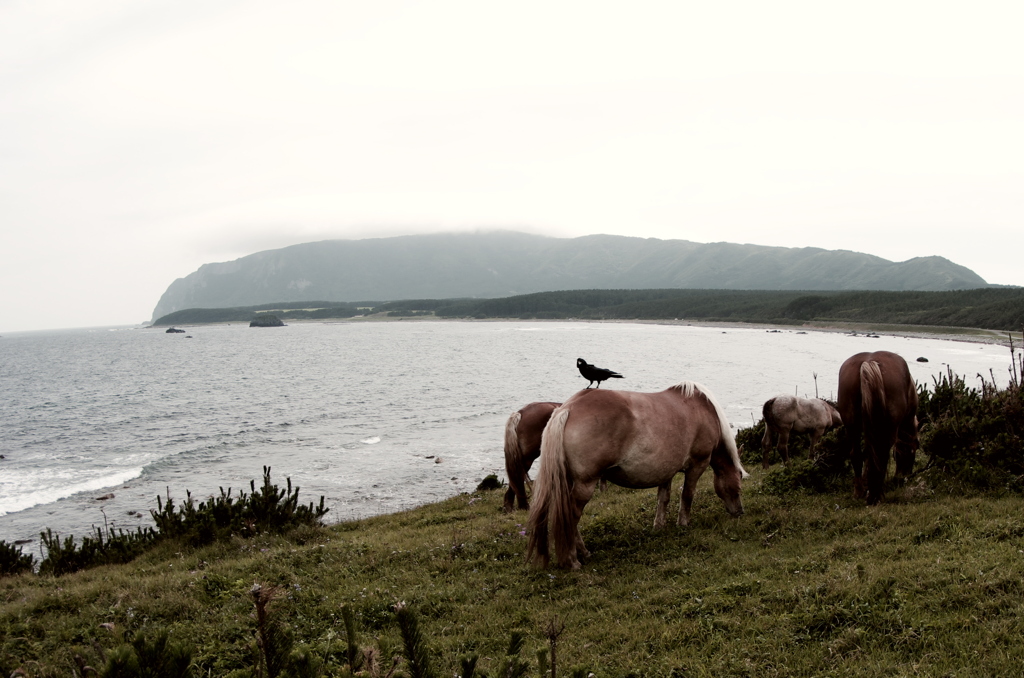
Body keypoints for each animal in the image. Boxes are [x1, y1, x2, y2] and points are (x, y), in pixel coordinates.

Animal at [524, 385, 749, 569]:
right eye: (738, 486)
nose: (739, 512)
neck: (702, 408)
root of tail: (567, 408)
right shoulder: (697, 465)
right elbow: (687, 495)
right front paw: (683, 523)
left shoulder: (666, 470)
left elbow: (663, 498)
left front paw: (659, 526)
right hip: (585, 484)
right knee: (571, 517)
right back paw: (573, 560)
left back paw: (583, 553)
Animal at [835, 350, 917, 503]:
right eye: (913, 451)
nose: (902, 478)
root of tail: (868, 362)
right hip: (888, 429)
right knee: (881, 454)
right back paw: (875, 494)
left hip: (852, 427)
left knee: (857, 455)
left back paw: (860, 492)